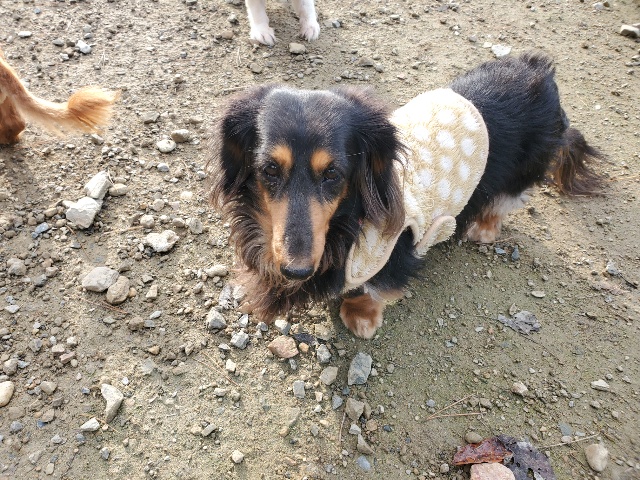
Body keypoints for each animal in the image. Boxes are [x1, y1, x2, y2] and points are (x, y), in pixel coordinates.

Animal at [207, 52, 603, 339]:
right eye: (270, 170)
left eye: (333, 174)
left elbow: (372, 287)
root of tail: (540, 72)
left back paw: (485, 227)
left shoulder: (389, 253)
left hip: (520, 172)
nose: (296, 270)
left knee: (507, 198)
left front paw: (361, 315)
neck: (347, 222)